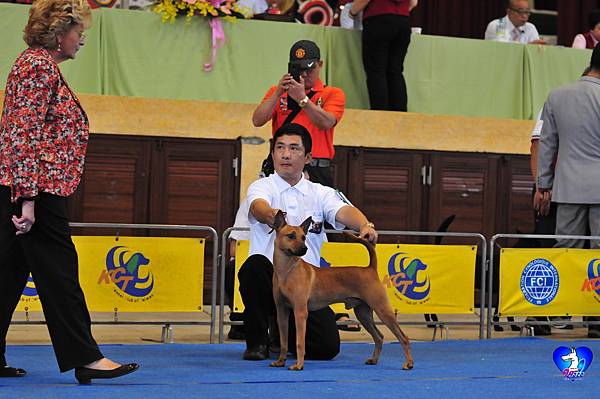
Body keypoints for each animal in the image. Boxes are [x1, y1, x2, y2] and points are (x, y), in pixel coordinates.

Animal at [270, 212, 412, 372]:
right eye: (291, 236)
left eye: (303, 237)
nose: (304, 249)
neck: (287, 270)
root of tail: (370, 269)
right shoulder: (281, 312)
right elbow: (284, 341)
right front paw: (280, 361)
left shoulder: (300, 312)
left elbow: (300, 343)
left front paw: (299, 365)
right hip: (363, 314)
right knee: (379, 337)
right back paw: (374, 360)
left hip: (382, 310)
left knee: (403, 337)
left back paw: (409, 363)